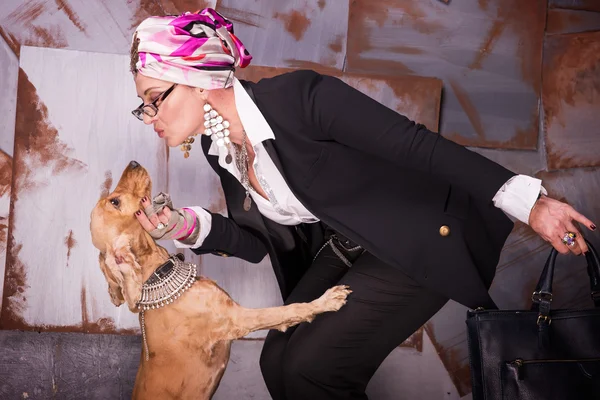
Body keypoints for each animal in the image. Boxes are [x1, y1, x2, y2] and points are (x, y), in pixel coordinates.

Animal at [90, 162, 352, 400]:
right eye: (115, 202)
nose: (133, 163)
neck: (159, 274)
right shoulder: (237, 319)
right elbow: (286, 310)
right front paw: (325, 301)